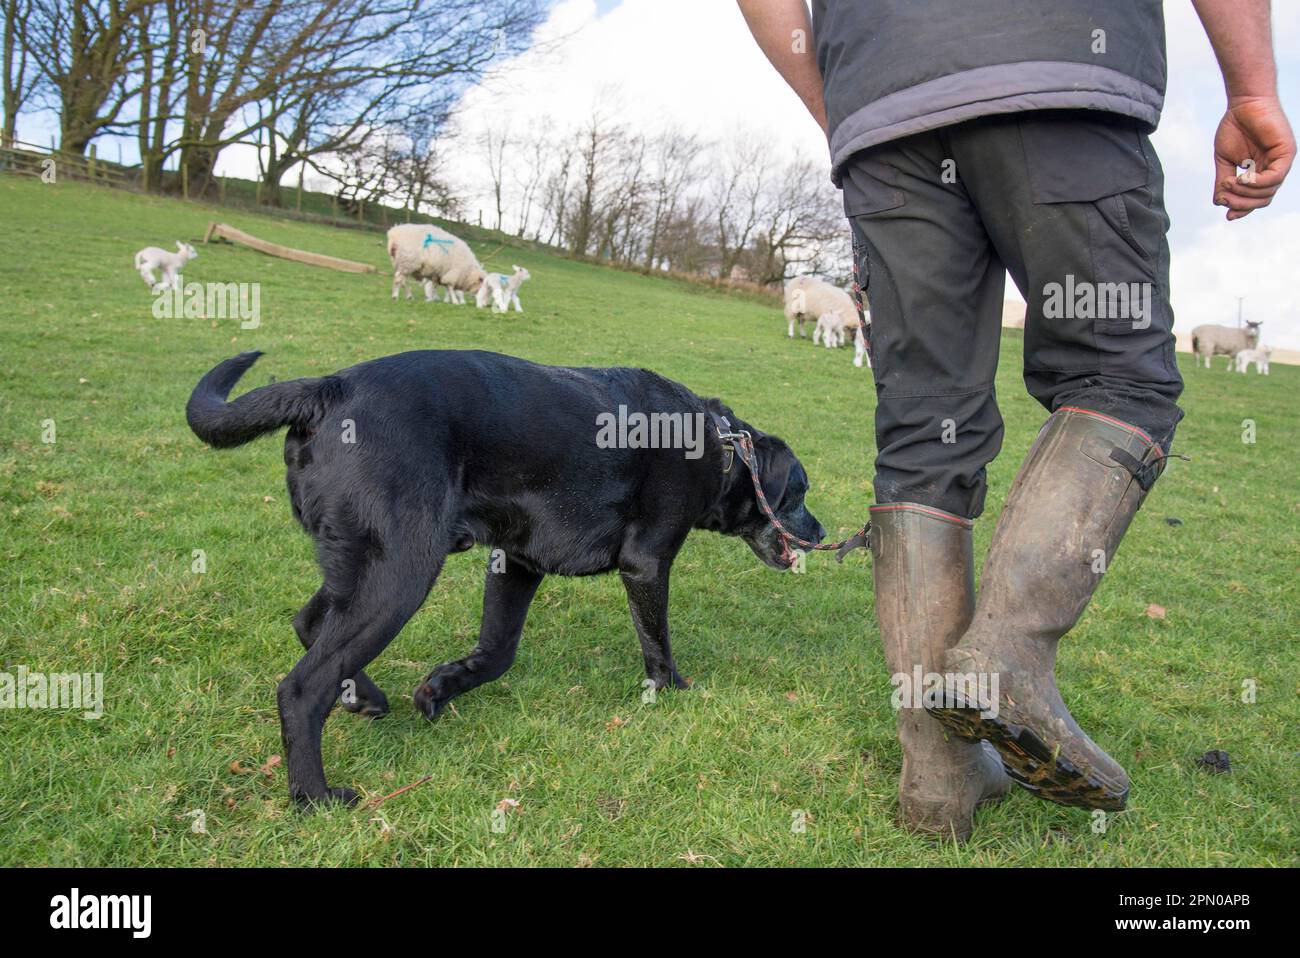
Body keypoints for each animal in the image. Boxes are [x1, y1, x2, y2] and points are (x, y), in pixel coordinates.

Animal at [185, 348, 821, 805]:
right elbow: (657, 644)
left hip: (364, 564)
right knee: (301, 687)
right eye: (799, 492)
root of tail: (327, 387)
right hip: (403, 571)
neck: (719, 446)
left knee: (309, 621)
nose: (819, 530)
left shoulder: (517, 562)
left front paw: (440, 688)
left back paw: (364, 695)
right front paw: (673, 691)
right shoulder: (647, 562)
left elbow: (497, 651)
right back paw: (316, 797)